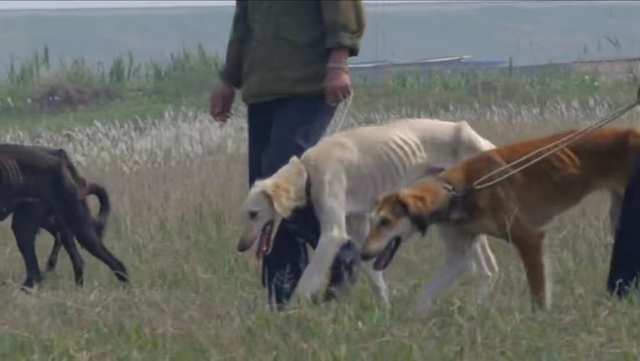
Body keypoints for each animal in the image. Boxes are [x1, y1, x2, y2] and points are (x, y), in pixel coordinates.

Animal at [236, 117, 500, 304]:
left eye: (254, 214)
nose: (240, 246)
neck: (308, 170)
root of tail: (481, 140)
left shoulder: (332, 235)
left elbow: (305, 283)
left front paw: (290, 316)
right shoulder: (361, 230)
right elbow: (376, 281)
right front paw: (385, 315)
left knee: (479, 268)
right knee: (487, 270)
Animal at [362, 126, 636, 316]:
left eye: (385, 221)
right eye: (373, 221)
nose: (363, 254)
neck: (458, 190)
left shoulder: (528, 239)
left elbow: (538, 293)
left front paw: (539, 321)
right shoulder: (456, 255)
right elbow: (424, 297)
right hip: (618, 217)